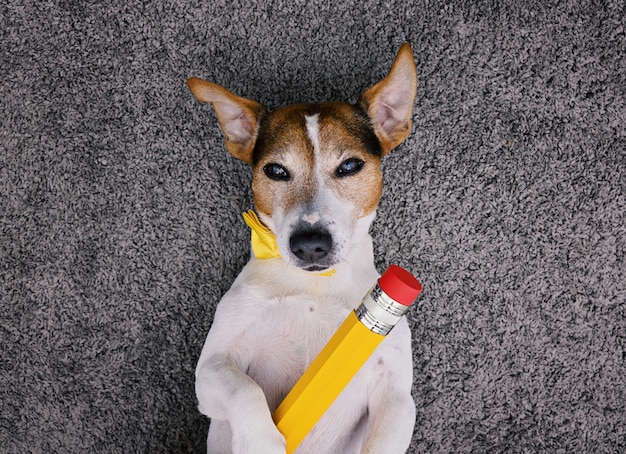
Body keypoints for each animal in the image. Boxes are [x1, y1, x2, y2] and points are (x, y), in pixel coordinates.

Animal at [188, 43, 416, 454]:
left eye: (350, 166)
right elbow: (246, 390)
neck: (316, 285)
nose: (310, 245)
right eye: (275, 171)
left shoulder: (396, 399)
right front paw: (261, 443)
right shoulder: (212, 368)